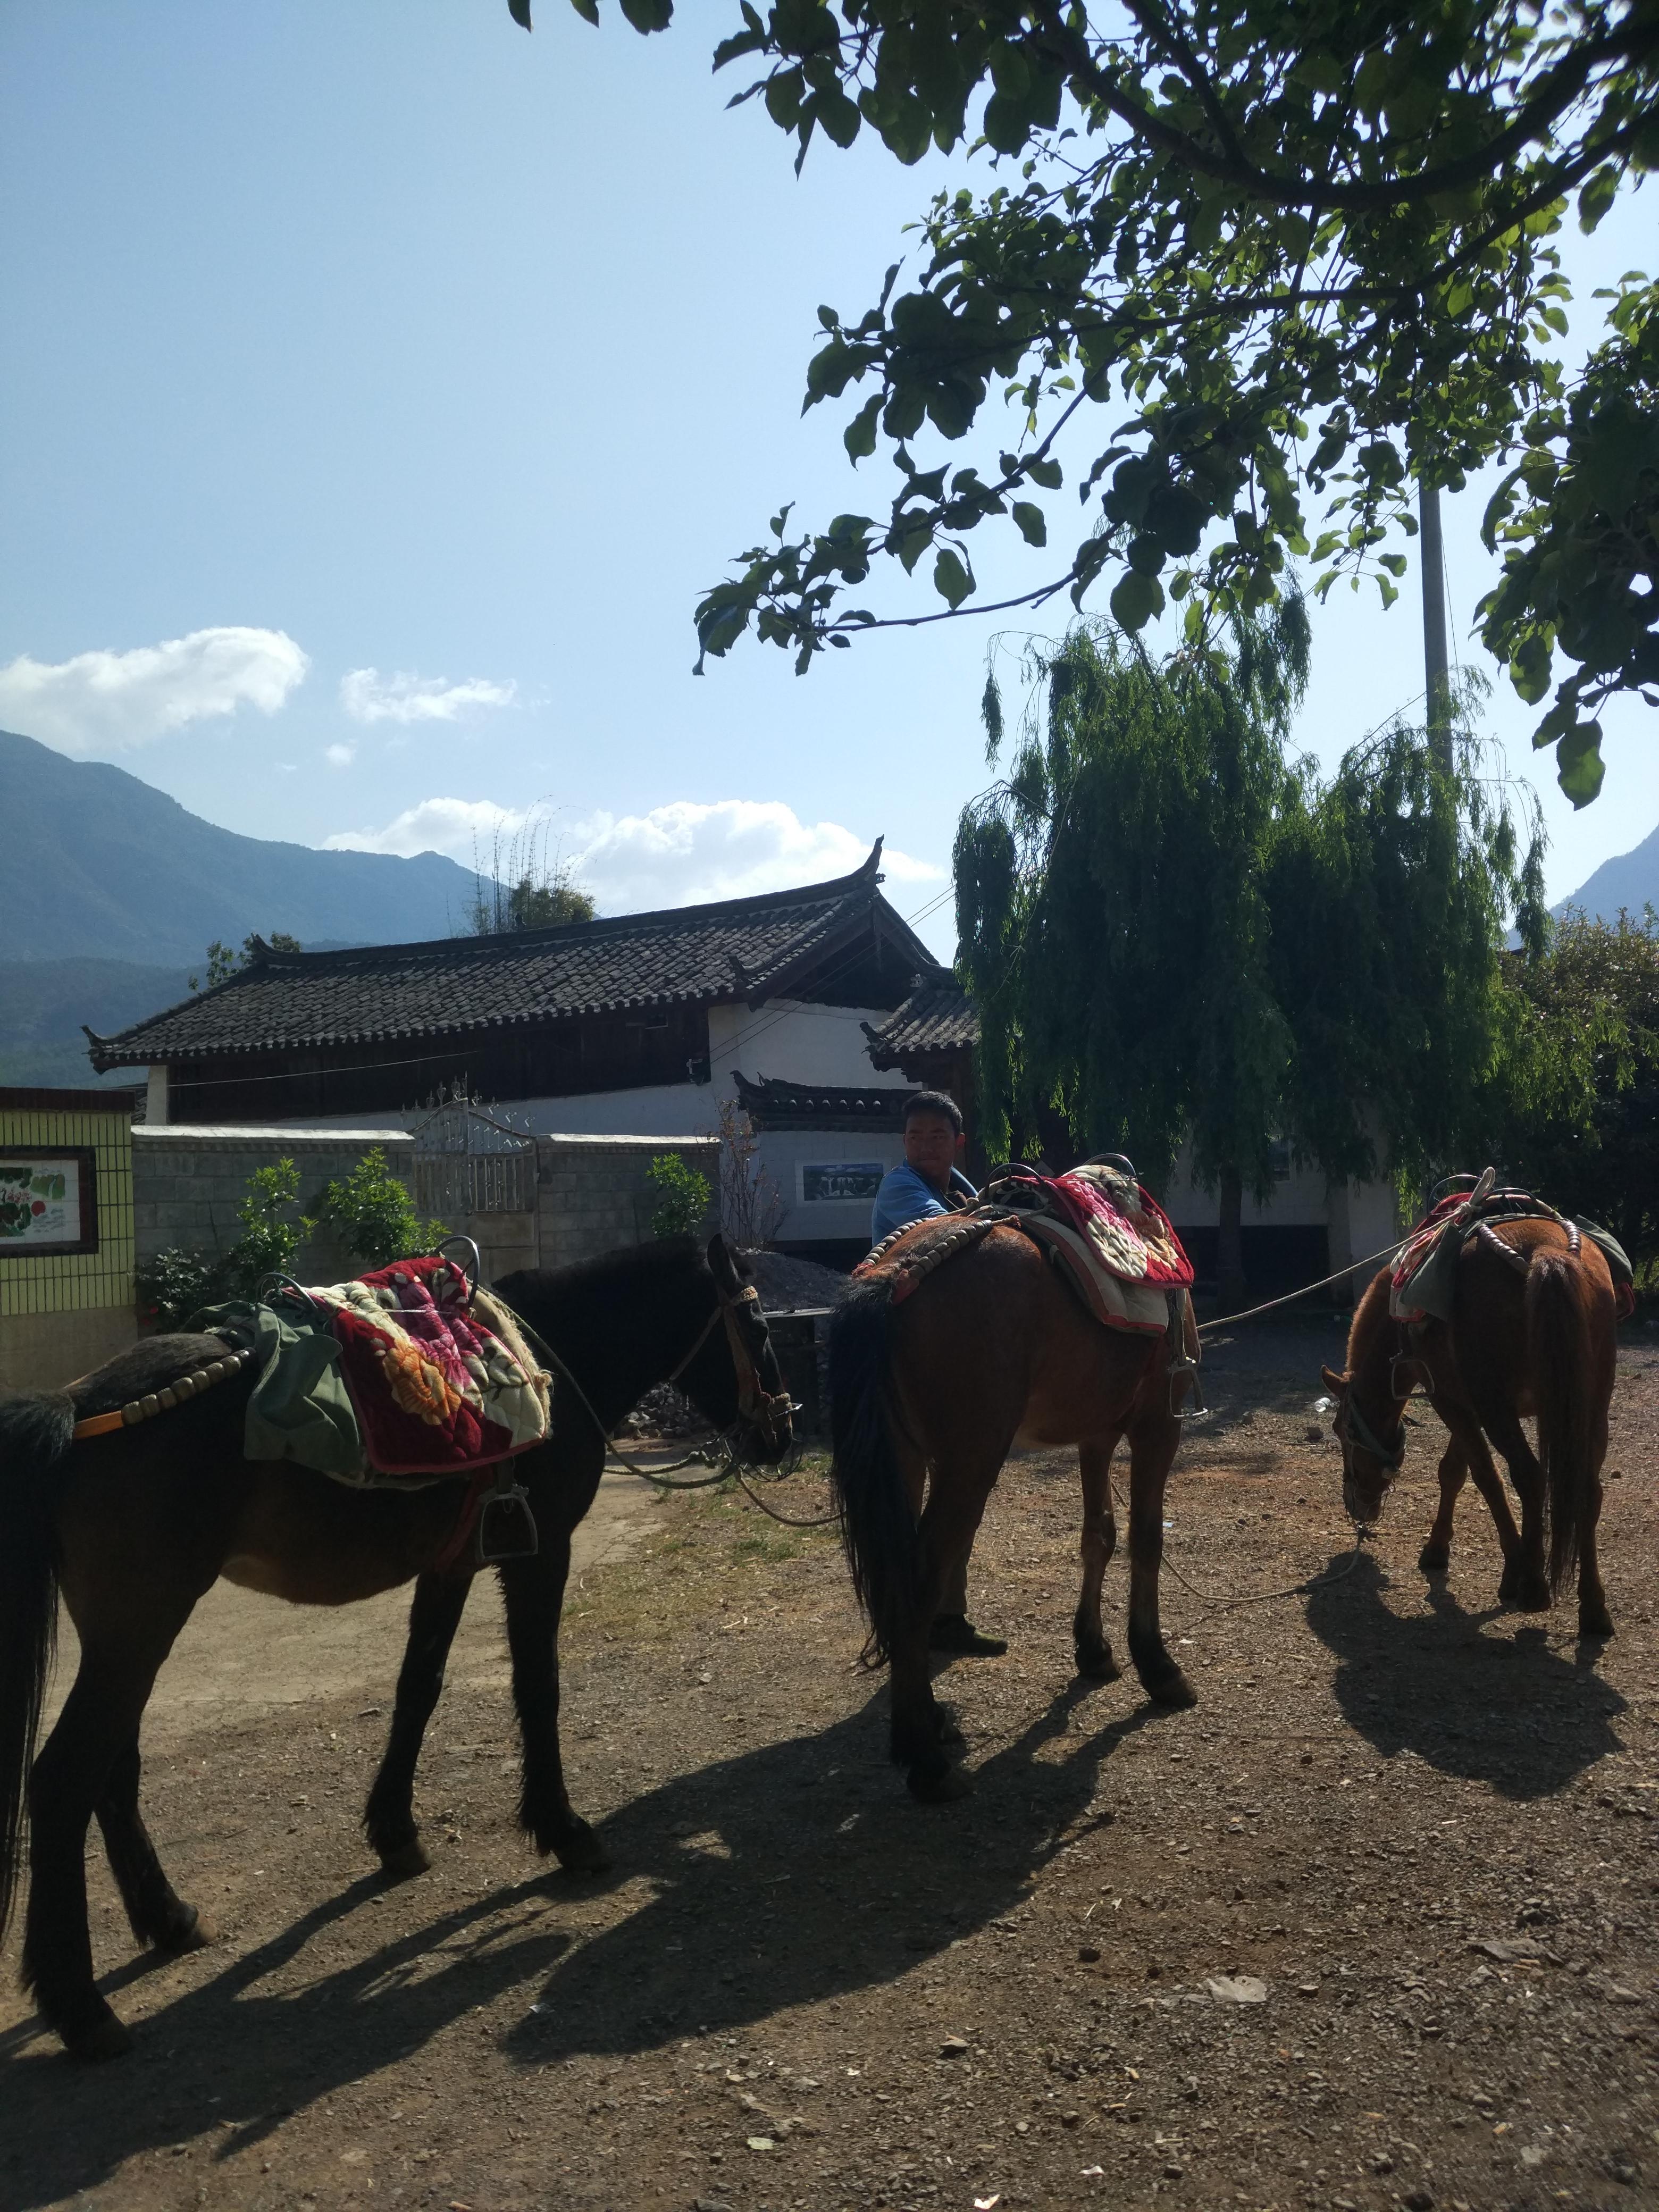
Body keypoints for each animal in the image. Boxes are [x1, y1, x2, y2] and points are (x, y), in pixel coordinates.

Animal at [0, 1233, 791, 2062]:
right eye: (759, 1327)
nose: (783, 1431)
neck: (554, 1352)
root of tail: (81, 1409)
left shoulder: (450, 1566)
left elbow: (420, 1688)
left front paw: (394, 1833)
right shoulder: (539, 1554)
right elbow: (538, 1687)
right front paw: (562, 1829)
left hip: (127, 1633)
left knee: (113, 1774)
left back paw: (170, 1919)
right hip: (141, 1626)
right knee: (63, 1780)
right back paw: (81, 2008)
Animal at [827, 1219, 1195, 1802]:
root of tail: (894, 1274)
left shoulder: (1096, 1432)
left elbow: (1099, 1535)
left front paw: (1093, 1649)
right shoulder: (1158, 1426)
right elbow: (1146, 1539)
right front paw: (1156, 1664)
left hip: (902, 1459)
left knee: (896, 1573)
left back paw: (929, 1721)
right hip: (970, 1460)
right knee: (920, 1580)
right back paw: (926, 1760)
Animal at [1321, 1216, 1618, 1637]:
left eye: (1341, 1429)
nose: (1356, 1505)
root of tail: (1546, 1252)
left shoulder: (1452, 1400)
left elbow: (1483, 1476)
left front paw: (1512, 1570)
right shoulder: (1468, 1404)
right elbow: (1455, 1471)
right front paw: (1440, 1548)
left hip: (1501, 1409)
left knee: (1529, 1476)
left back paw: (1534, 1589)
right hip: (1591, 1404)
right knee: (1587, 1491)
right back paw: (1593, 1609)